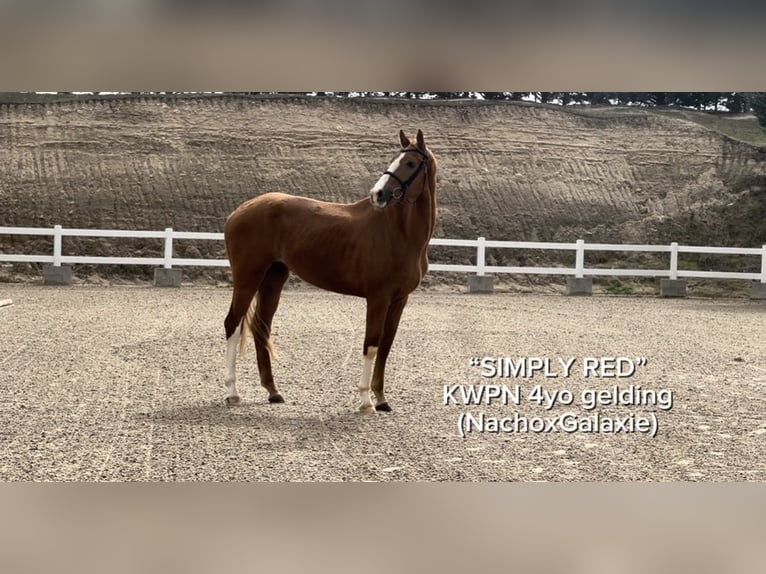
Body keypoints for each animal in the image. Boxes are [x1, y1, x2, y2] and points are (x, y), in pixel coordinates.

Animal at [222, 129, 438, 413]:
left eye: (411, 163)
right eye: (394, 159)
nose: (378, 194)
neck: (399, 232)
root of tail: (238, 211)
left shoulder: (399, 299)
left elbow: (385, 346)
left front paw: (382, 399)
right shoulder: (378, 298)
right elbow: (371, 343)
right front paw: (366, 401)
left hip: (273, 277)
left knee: (261, 327)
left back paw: (273, 392)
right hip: (247, 278)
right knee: (233, 324)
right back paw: (232, 393)